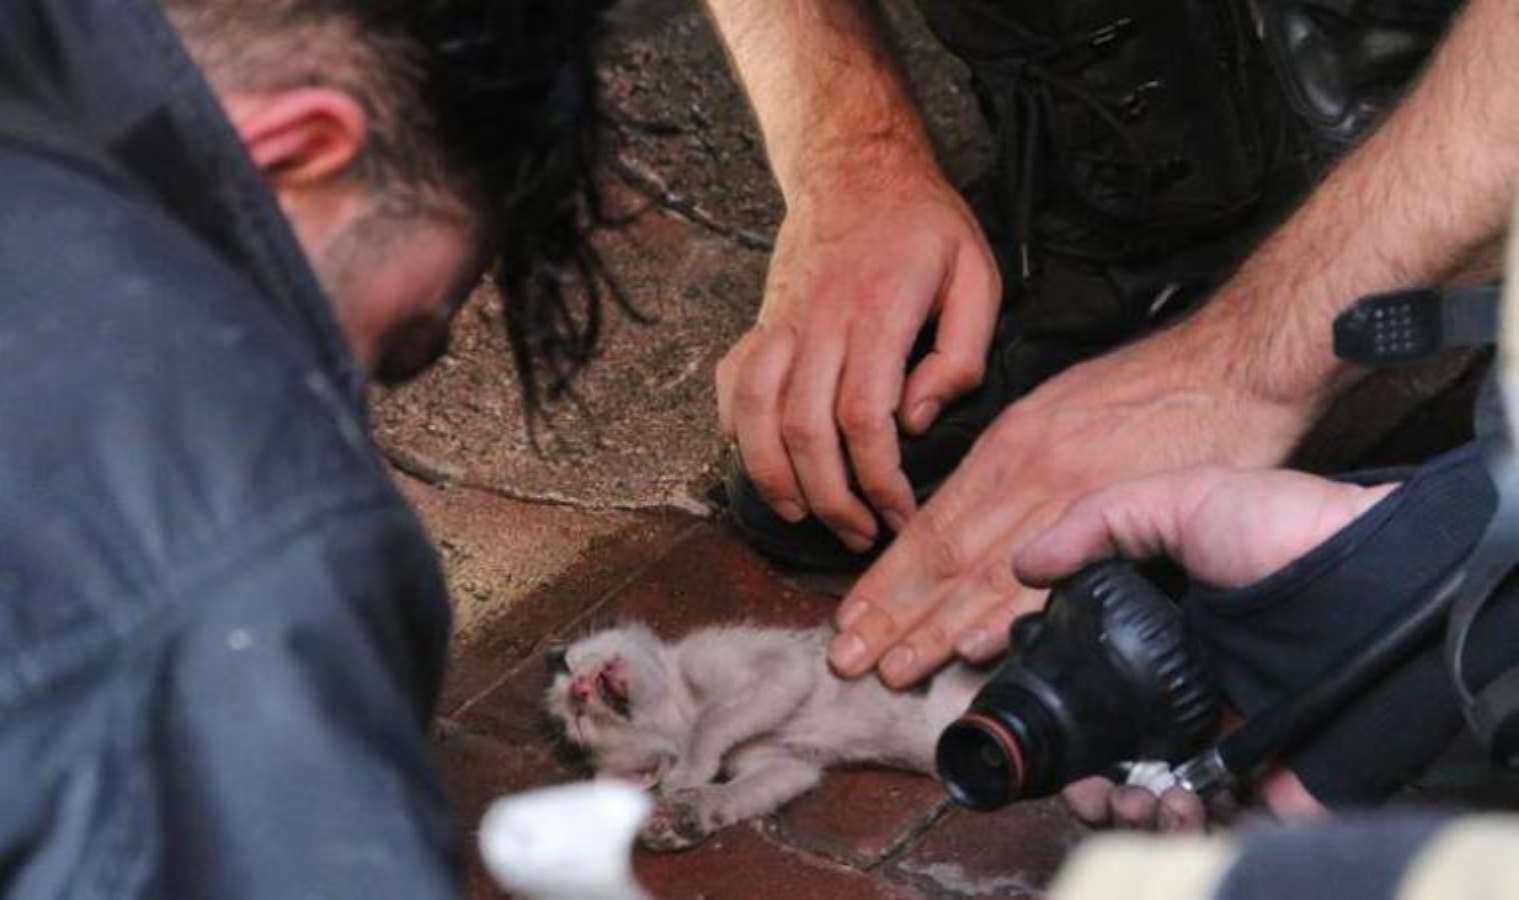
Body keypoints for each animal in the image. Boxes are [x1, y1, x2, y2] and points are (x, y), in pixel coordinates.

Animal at [546, 623, 984, 851]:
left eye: (571, 665)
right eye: (581, 722)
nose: (580, 689)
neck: (681, 706)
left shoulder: (783, 664)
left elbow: (715, 720)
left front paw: (688, 772)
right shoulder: (785, 764)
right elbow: (752, 788)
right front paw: (688, 815)